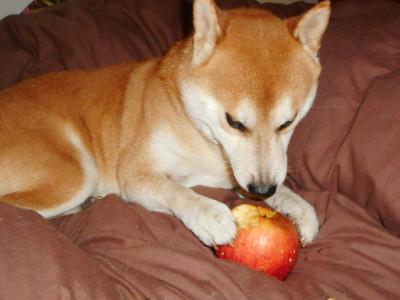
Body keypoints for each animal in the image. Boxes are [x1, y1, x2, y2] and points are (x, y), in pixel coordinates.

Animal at [0, 0, 332, 247]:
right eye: (234, 122)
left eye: (288, 122)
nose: (262, 190)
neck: (195, 125)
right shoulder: (135, 173)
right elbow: (176, 191)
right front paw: (209, 213)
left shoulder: (239, 176)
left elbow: (282, 188)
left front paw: (298, 208)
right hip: (76, 174)